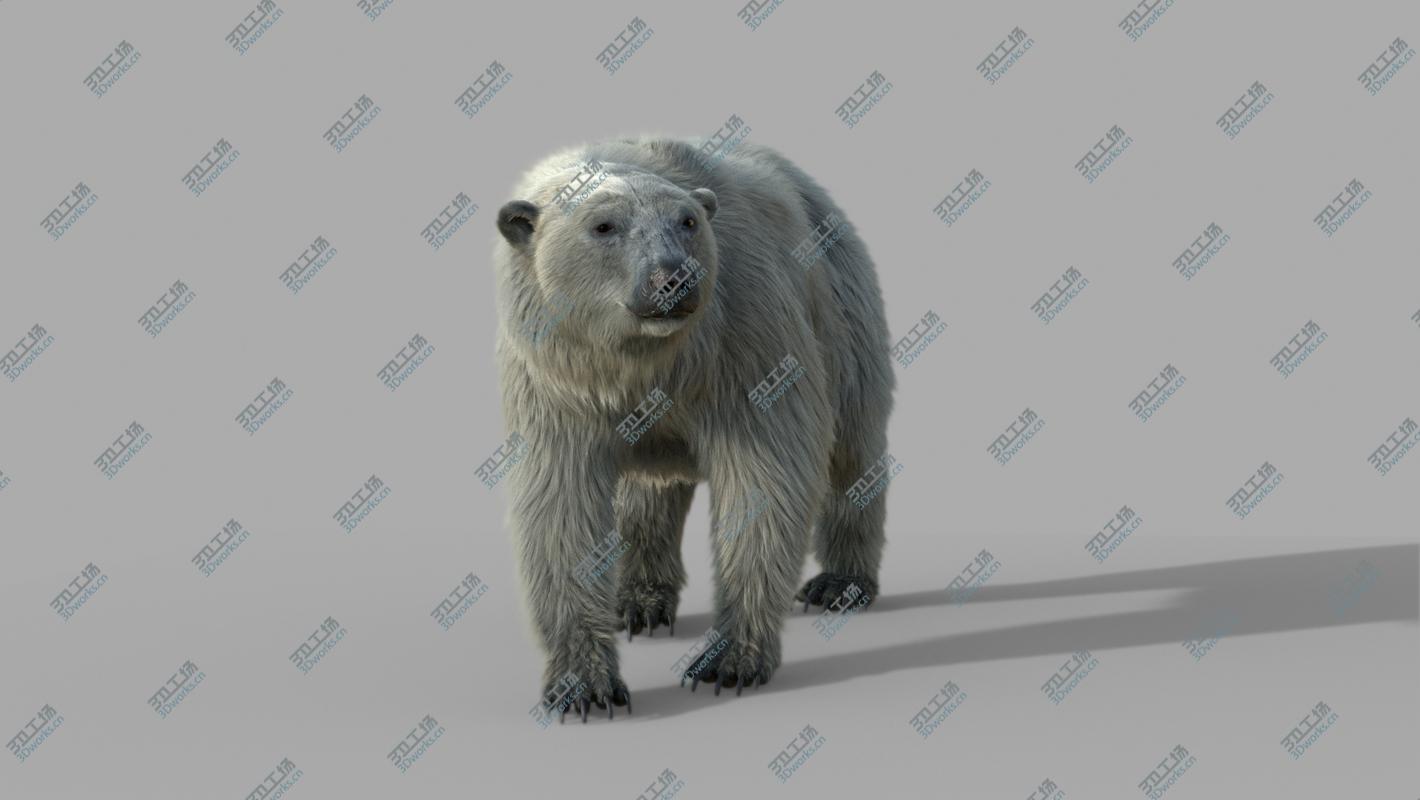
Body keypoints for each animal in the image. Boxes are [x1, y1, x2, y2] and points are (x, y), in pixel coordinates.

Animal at [492, 136, 895, 721]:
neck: (642, 362)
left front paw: (727, 660)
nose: (674, 278)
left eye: (686, 221)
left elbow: (766, 478)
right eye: (603, 226)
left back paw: (839, 583)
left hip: (841, 306)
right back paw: (639, 600)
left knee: (852, 448)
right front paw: (583, 686)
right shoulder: (554, 382)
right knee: (648, 489)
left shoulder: (745, 333)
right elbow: (561, 505)